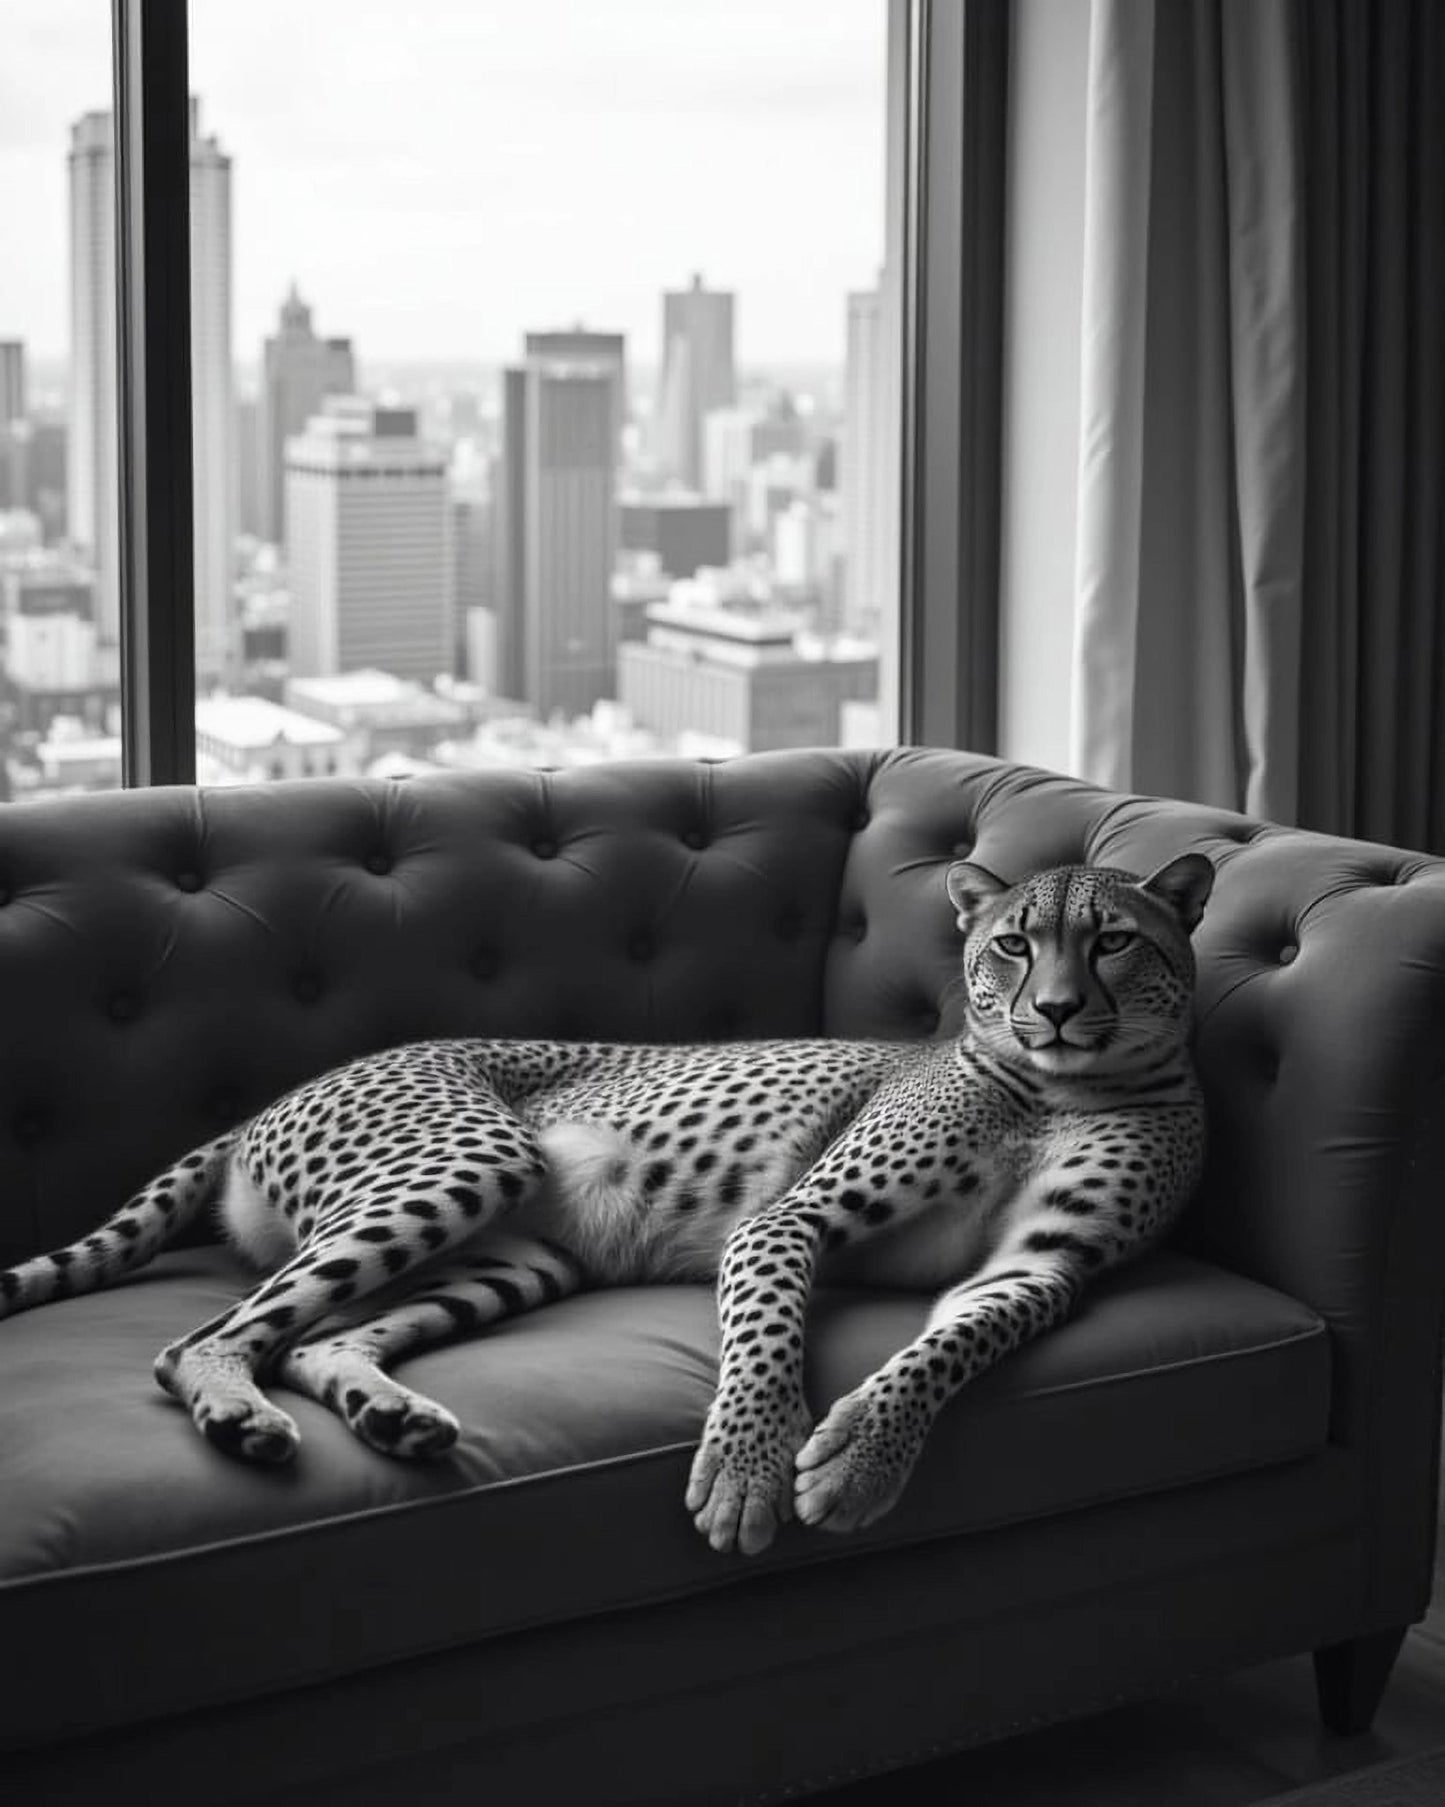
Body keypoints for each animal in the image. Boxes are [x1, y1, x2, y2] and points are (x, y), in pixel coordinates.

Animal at [0, 852, 1213, 1557]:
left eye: (1111, 939)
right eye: (1011, 943)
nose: (1054, 1010)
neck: (1060, 1085)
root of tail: (277, 1095)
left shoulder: (1039, 1265)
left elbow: (949, 1348)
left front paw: (860, 1455)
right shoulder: (788, 1219)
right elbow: (766, 1341)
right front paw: (748, 1469)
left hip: (519, 1254)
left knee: (314, 1339)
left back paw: (388, 1415)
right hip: (467, 1164)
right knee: (203, 1339)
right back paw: (238, 1416)